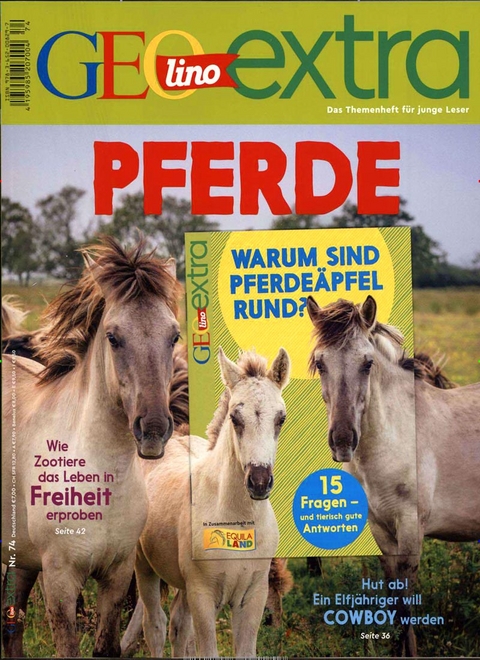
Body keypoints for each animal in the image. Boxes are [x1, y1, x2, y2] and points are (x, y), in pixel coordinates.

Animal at [2, 236, 182, 658]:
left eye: (174, 336)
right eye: (113, 337)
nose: (153, 430)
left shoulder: (116, 575)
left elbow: (106, 647)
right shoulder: (61, 581)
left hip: (22, 562)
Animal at [121, 347, 291, 658]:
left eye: (280, 418)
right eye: (235, 418)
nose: (259, 482)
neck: (238, 522)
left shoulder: (253, 597)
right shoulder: (203, 595)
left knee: (178, 627)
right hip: (145, 567)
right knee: (156, 625)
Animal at [306, 294, 480, 657]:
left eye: (367, 363)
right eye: (320, 363)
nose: (342, 441)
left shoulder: (411, 530)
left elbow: (405, 606)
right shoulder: (381, 531)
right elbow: (394, 602)